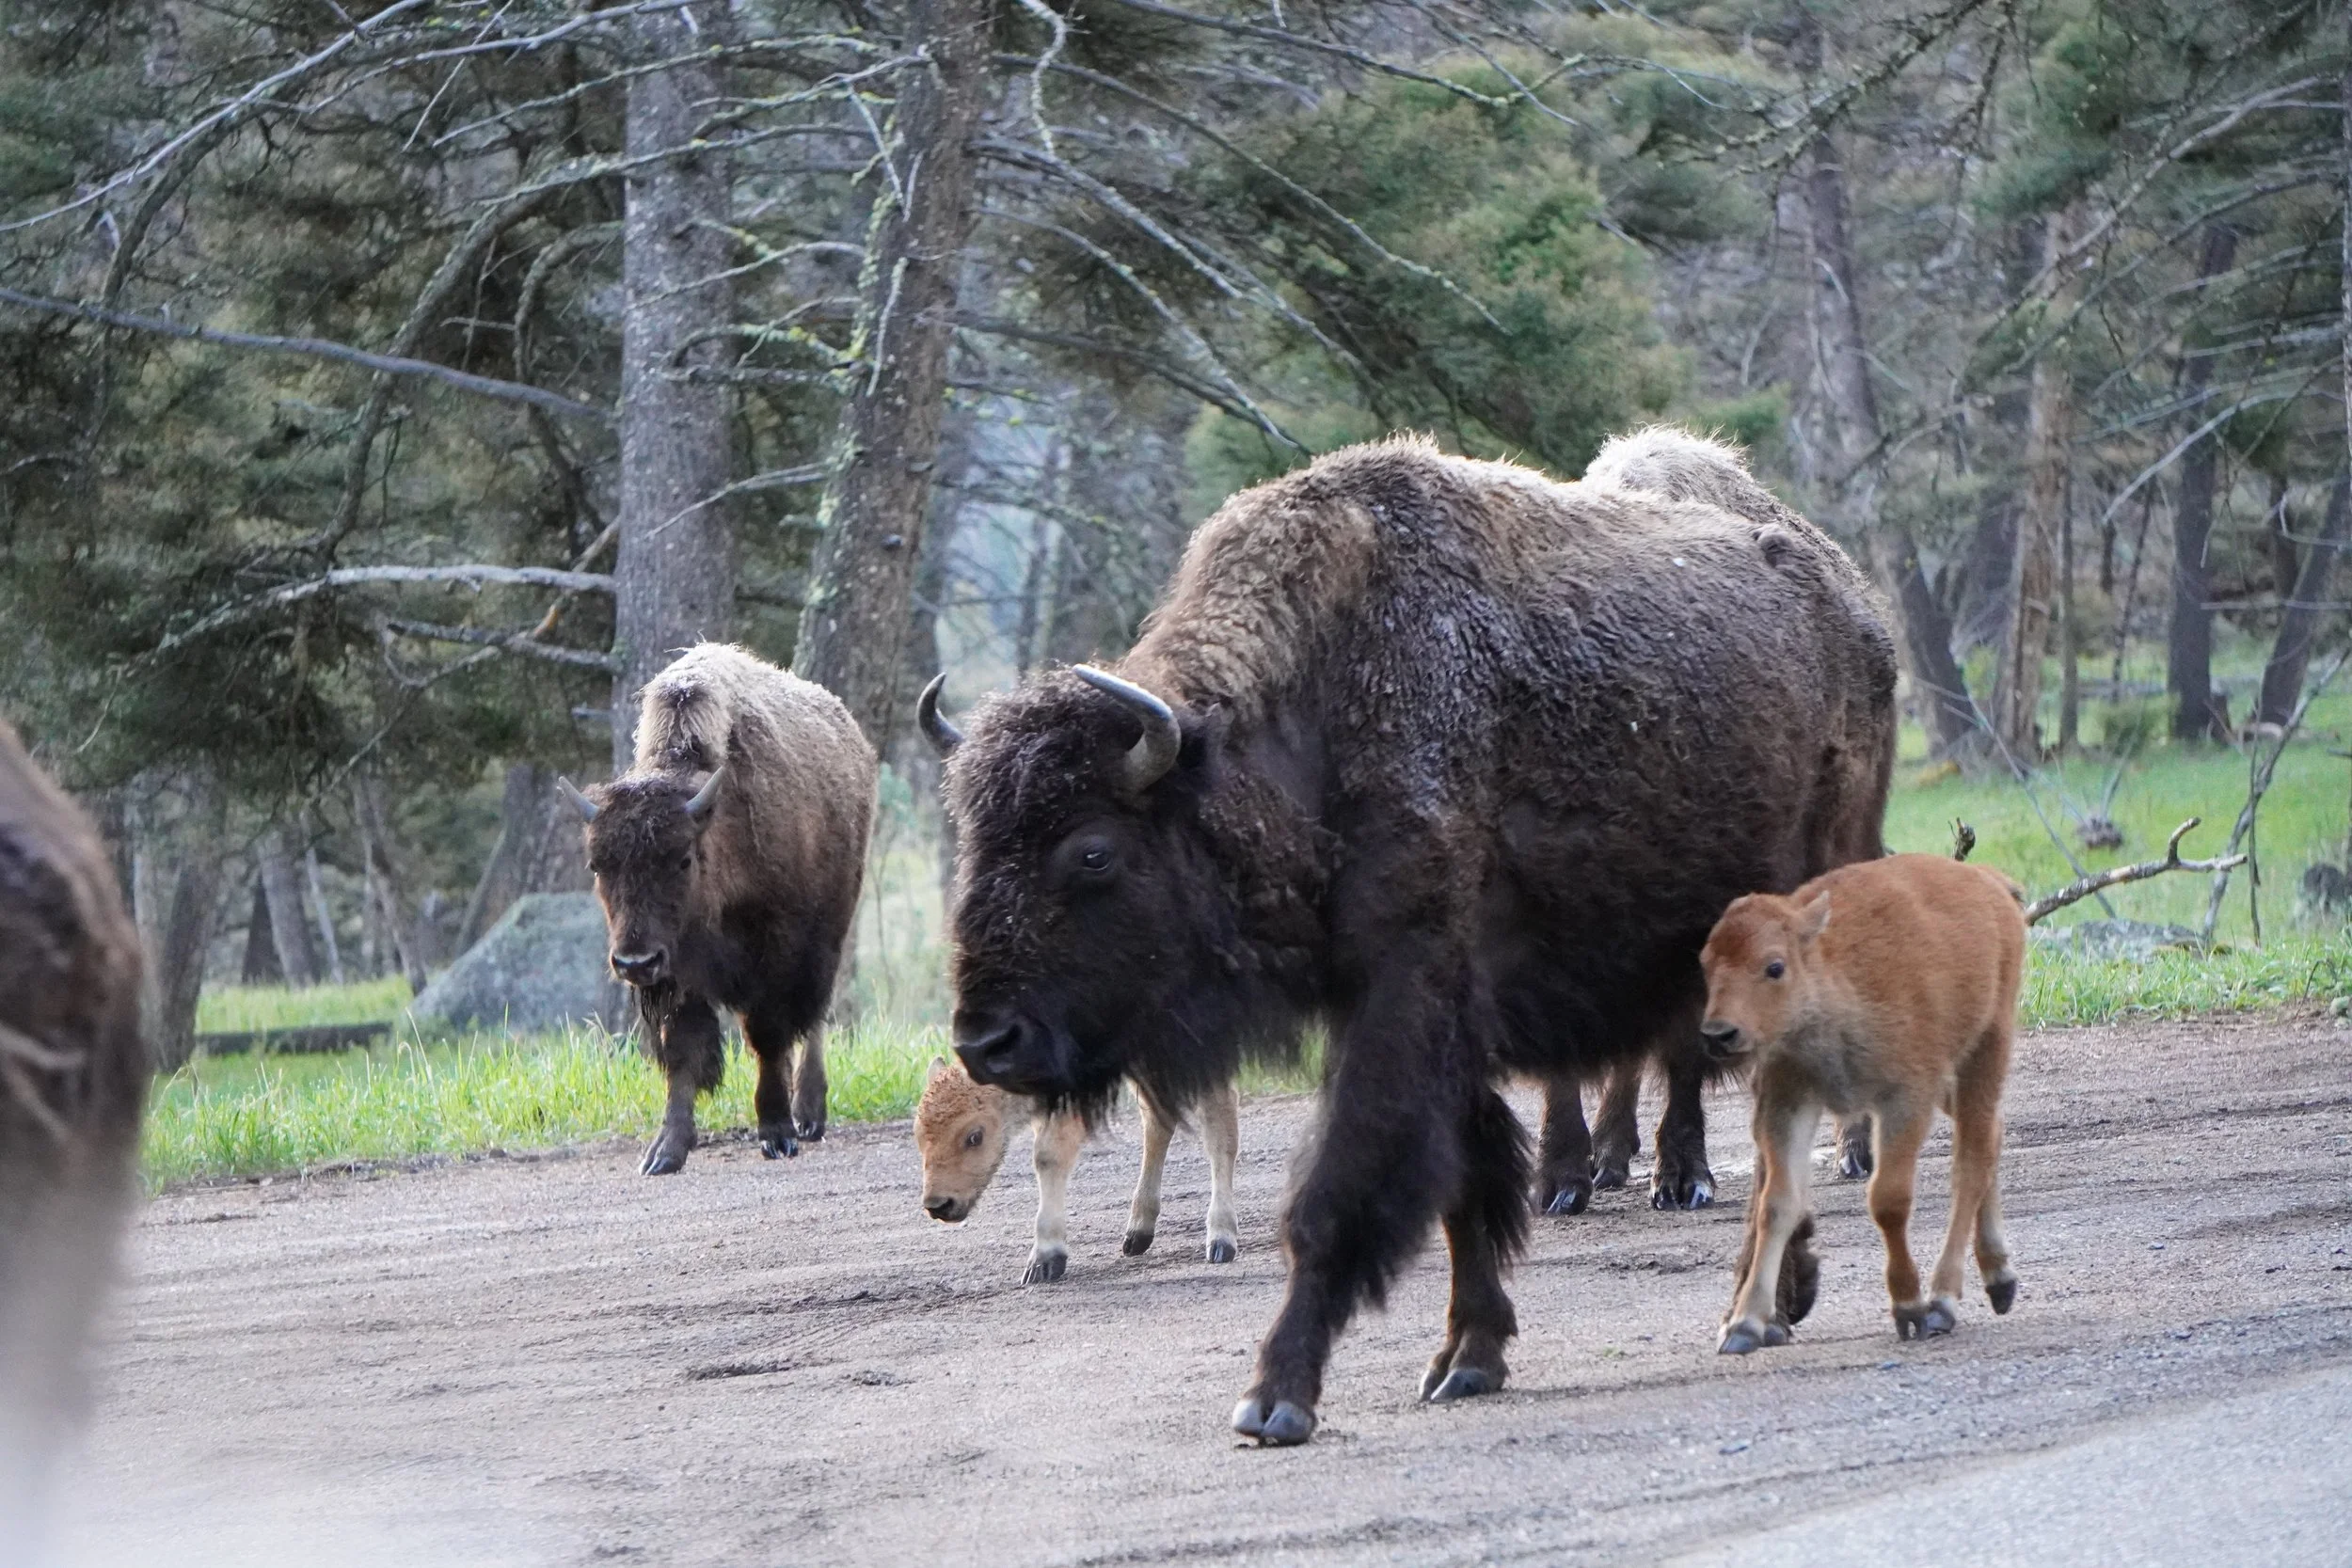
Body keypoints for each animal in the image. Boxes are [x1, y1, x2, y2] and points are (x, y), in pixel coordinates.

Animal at [561, 643, 875, 1175]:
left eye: (683, 859)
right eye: (597, 865)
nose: (633, 961)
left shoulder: (776, 951)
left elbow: (767, 1035)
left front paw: (777, 1133)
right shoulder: (676, 974)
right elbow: (683, 1052)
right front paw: (665, 1152)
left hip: (830, 932)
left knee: (813, 1018)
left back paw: (808, 1115)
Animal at [914, 1056, 1239, 1282]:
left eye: (975, 1136)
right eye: (918, 1135)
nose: (938, 1204)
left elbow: (1220, 1130)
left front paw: (1043, 1261)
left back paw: (1218, 1242)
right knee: (1157, 1122)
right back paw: (1137, 1235)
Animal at [1701, 853, 2025, 1354]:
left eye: (1774, 967)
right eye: (1705, 963)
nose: (1719, 1033)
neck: (1829, 974)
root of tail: (1990, 881)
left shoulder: (1905, 1100)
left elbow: (1888, 1199)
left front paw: (1909, 1308)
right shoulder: (1787, 1101)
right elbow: (1776, 1205)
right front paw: (1744, 1326)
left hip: (1986, 1047)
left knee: (1971, 1163)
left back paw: (1943, 1301)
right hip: (1953, 1081)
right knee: (1991, 1135)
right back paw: (1999, 1279)